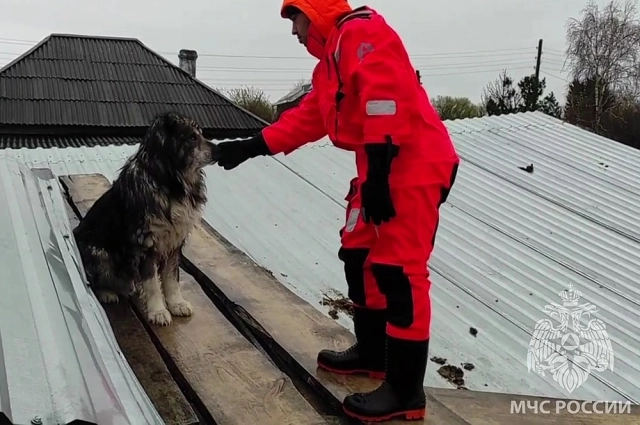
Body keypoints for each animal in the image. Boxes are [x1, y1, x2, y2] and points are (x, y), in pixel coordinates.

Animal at [74, 112, 219, 324]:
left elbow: (171, 276)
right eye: (192, 137)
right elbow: (151, 283)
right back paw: (107, 292)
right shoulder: (145, 244)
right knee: (94, 278)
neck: (170, 183)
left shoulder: (174, 241)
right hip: (100, 253)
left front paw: (176, 303)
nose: (218, 150)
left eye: (200, 133)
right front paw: (158, 311)